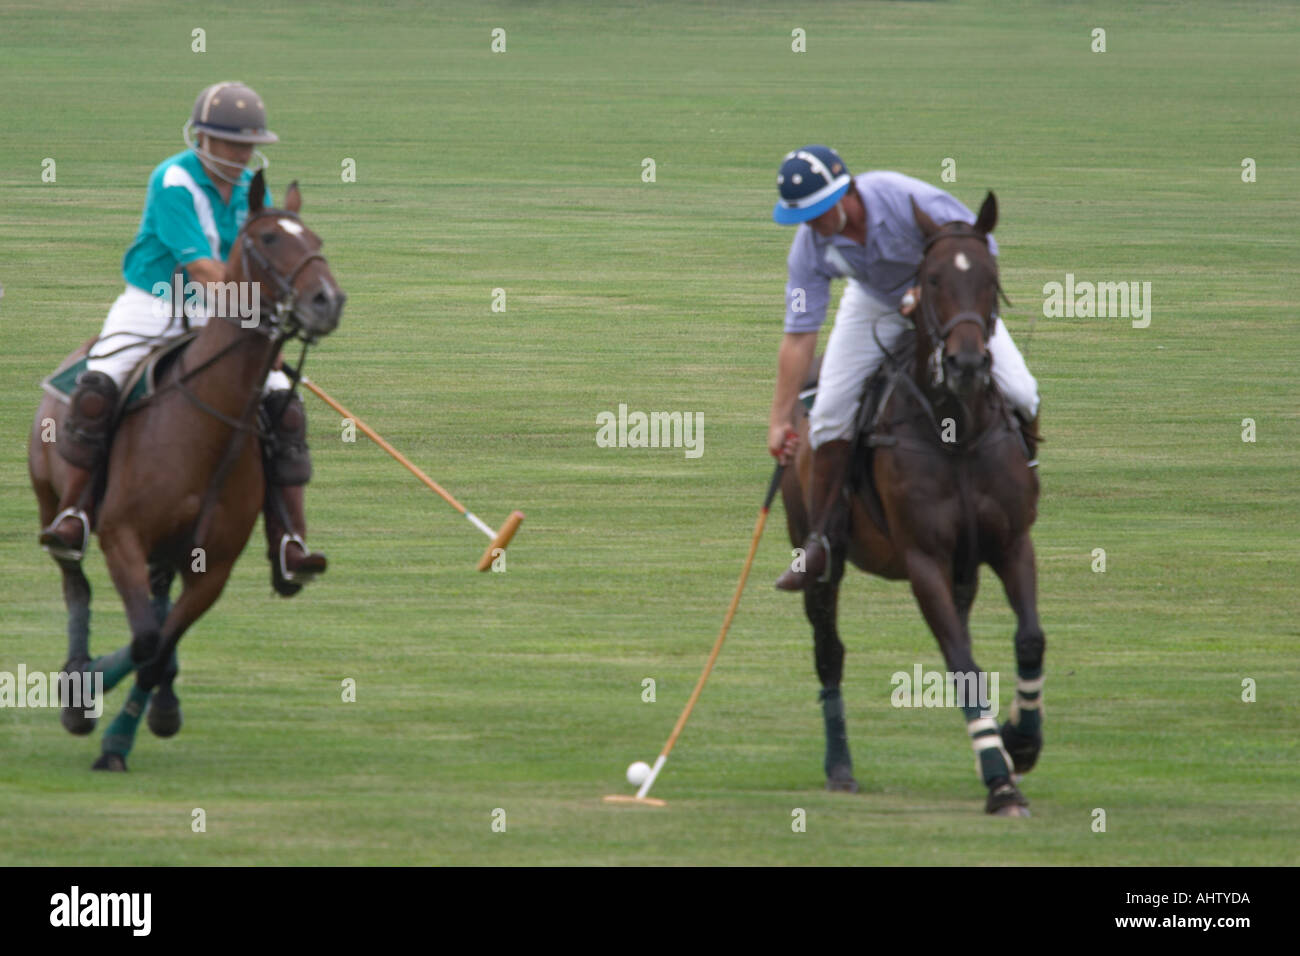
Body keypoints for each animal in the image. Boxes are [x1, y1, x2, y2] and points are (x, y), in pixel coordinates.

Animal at [27, 171, 343, 770]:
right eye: (268, 239)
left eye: (314, 236)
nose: (328, 301)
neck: (208, 420)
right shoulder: (122, 535)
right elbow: (147, 641)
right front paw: (88, 697)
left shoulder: (212, 563)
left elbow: (158, 645)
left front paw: (135, 727)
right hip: (51, 496)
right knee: (75, 578)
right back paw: (78, 681)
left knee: (158, 608)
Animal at [780, 192, 1045, 816]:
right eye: (931, 279)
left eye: (991, 278)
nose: (968, 364)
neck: (957, 431)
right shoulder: (924, 559)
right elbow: (963, 663)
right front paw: (1001, 783)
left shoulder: (1012, 543)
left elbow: (1028, 638)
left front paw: (1020, 743)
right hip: (820, 557)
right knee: (829, 650)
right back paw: (840, 768)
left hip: (964, 572)